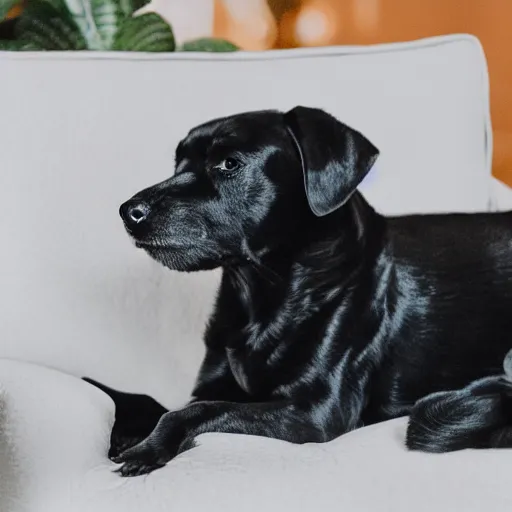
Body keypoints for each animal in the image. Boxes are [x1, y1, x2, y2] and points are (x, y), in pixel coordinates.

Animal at [84, 106, 512, 478]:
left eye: (229, 164)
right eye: (178, 165)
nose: (128, 212)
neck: (260, 297)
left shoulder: (316, 412)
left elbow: (194, 411)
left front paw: (146, 449)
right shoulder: (211, 384)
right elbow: (151, 401)